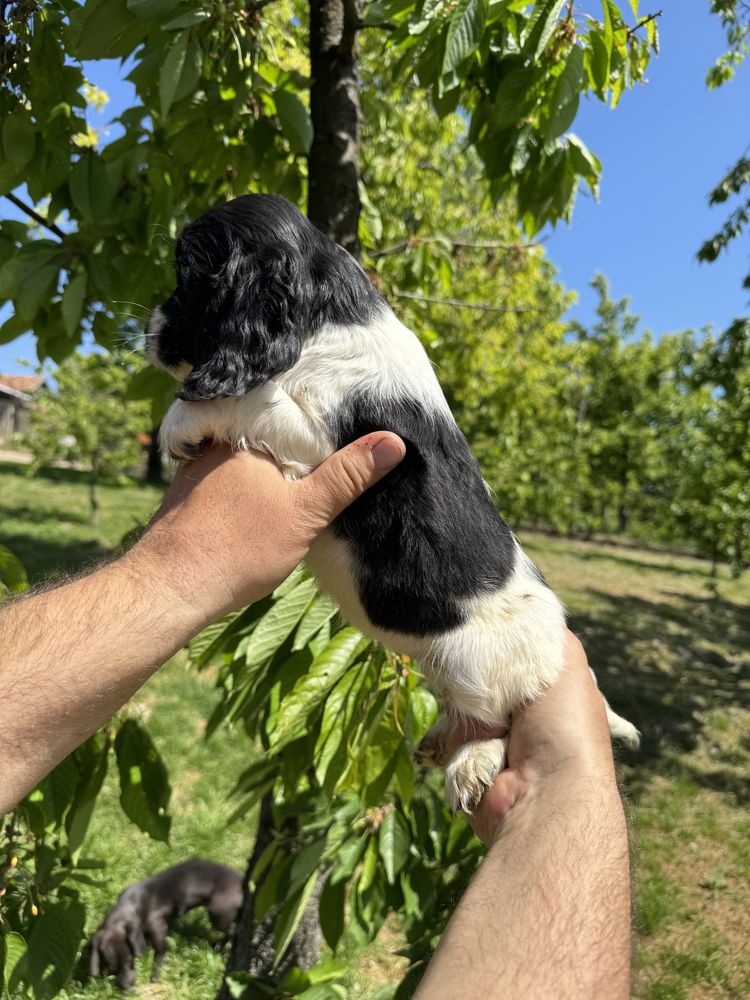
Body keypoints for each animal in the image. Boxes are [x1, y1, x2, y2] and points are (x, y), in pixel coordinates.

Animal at [90, 856, 244, 988]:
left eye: (130, 960)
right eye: (112, 968)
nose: (129, 990)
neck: (131, 904)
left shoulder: (158, 929)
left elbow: (159, 954)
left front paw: (154, 976)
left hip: (219, 915)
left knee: (233, 930)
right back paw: (216, 946)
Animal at [148, 193, 640, 812]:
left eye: (187, 276)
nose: (148, 330)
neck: (334, 319)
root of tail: (559, 649)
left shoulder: (318, 437)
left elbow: (256, 401)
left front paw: (178, 423)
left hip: (480, 662)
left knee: (502, 718)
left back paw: (472, 765)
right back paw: (441, 740)